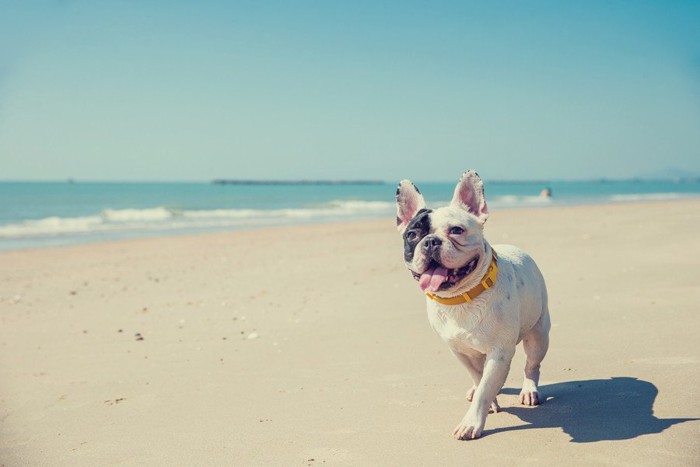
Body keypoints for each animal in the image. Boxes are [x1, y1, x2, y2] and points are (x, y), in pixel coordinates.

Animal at [394, 170, 552, 440]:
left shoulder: (499, 353)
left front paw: (471, 422)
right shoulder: (460, 351)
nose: (431, 242)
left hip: (539, 335)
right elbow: (480, 381)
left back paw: (530, 390)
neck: (461, 298)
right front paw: (488, 401)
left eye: (456, 230)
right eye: (412, 235)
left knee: (532, 365)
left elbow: (486, 386)